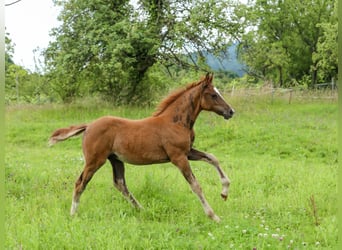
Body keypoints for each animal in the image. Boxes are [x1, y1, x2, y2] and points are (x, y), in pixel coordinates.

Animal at [48, 73, 235, 222]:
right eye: (213, 95)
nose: (231, 111)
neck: (176, 122)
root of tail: (89, 125)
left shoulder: (188, 152)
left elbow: (212, 158)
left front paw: (225, 192)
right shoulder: (178, 157)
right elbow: (196, 185)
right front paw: (214, 216)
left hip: (115, 159)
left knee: (120, 184)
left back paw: (141, 209)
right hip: (95, 160)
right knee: (80, 183)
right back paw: (73, 214)